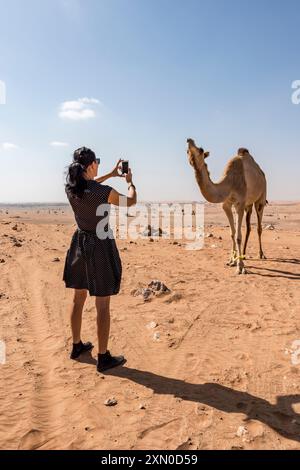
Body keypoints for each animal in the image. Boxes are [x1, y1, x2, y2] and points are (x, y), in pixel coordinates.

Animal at [188, 138, 268, 274]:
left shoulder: (239, 204)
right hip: (248, 204)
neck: (229, 183)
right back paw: (244, 254)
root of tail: (262, 174)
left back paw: (261, 254)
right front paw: (232, 260)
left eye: (201, 150)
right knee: (248, 227)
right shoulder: (226, 205)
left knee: (259, 226)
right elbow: (232, 233)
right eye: (187, 151)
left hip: (261, 199)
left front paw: (240, 267)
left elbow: (238, 236)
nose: (189, 140)